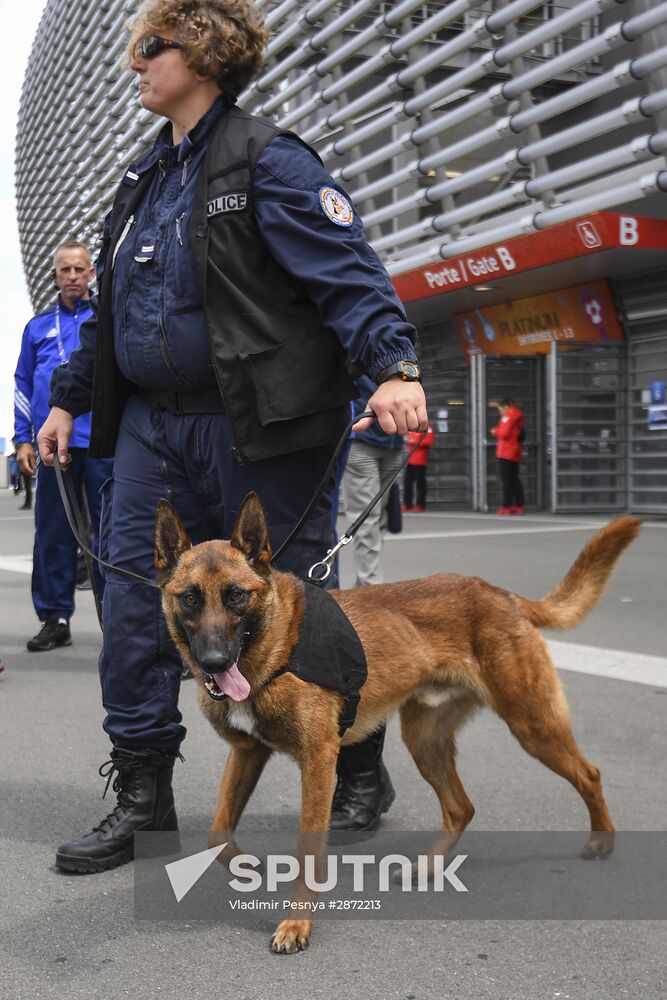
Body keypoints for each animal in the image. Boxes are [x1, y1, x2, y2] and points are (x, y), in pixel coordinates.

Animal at [155, 496, 640, 956]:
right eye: (190, 598)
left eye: (236, 596)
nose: (214, 663)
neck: (276, 648)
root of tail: (499, 593)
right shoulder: (247, 753)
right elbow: (218, 833)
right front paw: (250, 867)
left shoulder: (318, 762)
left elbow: (308, 853)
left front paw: (296, 925)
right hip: (426, 743)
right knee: (461, 807)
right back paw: (428, 868)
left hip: (531, 725)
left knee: (589, 773)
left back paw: (601, 843)